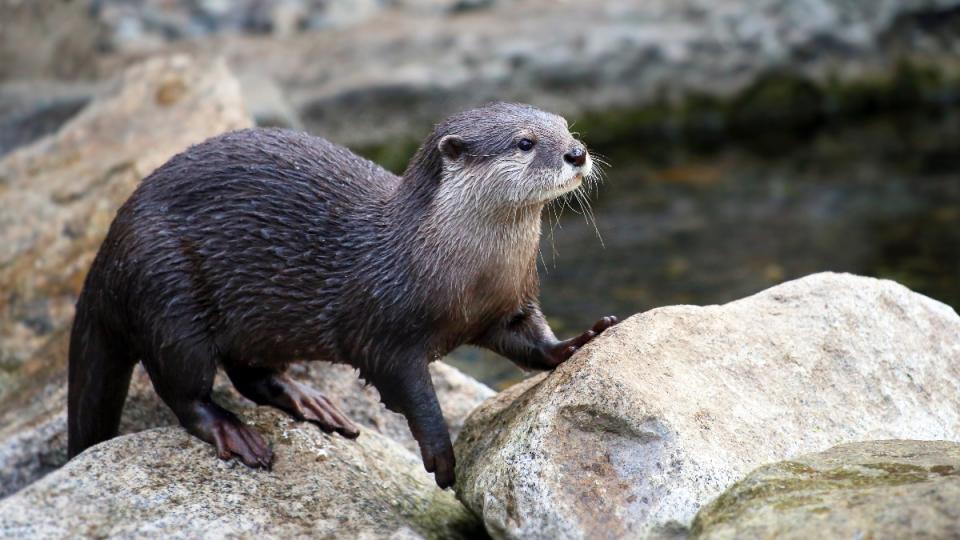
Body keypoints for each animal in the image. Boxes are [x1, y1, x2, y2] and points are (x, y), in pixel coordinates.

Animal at [71, 100, 620, 486]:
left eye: (565, 125)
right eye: (525, 142)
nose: (576, 152)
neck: (462, 273)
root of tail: (107, 250)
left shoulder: (507, 302)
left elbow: (530, 342)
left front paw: (580, 341)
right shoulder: (383, 330)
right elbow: (409, 390)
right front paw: (441, 453)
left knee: (249, 373)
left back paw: (307, 400)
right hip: (166, 289)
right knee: (184, 389)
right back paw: (236, 433)